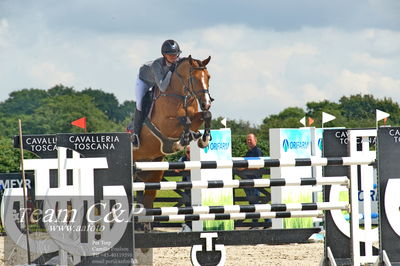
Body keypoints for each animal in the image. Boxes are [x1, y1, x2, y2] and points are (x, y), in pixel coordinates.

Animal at [133, 55, 212, 213]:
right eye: (194, 79)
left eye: (208, 77)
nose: (206, 103)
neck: (180, 95)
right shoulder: (165, 124)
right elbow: (185, 119)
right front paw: (182, 140)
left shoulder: (196, 116)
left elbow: (206, 115)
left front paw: (203, 139)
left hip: (153, 171)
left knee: (148, 198)